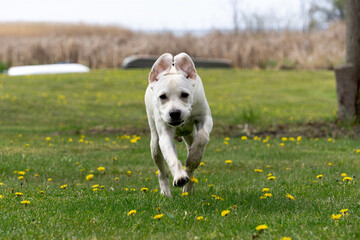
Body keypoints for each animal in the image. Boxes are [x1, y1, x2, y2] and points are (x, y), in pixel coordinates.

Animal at [145, 52, 212, 197]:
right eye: (162, 96)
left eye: (185, 94)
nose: (174, 113)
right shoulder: (165, 133)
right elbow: (171, 157)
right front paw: (180, 178)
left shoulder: (205, 117)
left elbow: (202, 137)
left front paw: (194, 158)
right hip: (155, 145)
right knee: (162, 171)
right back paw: (166, 192)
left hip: (190, 135)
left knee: (190, 166)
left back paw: (188, 187)